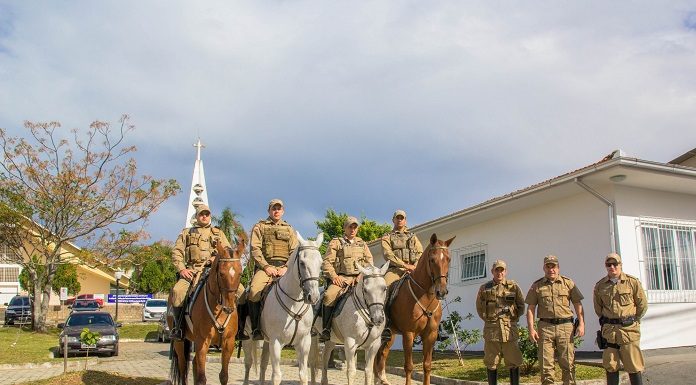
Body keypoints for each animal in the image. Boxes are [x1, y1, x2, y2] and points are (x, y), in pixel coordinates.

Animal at [169, 238, 245, 382]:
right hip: (178, 342)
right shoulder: (202, 342)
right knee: (182, 367)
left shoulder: (229, 343)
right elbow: (201, 378)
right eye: (221, 273)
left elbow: (224, 376)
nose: (229, 308)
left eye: (240, 273)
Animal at [242, 231, 324, 384]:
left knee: (262, 364)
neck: (294, 303)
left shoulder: (304, 342)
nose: (313, 297)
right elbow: (276, 376)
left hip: (266, 341)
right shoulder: (276, 342)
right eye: (302, 263)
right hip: (248, 338)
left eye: (321, 263)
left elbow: (303, 375)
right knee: (248, 363)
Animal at [376, 232, 456, 384]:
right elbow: (409, 366)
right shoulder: (408, 334)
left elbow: (427, 365)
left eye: (449, 259)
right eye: (432, 260)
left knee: (381, 355)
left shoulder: (430, 335)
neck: (425, 297)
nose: (442, 291)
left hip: (390, 335)